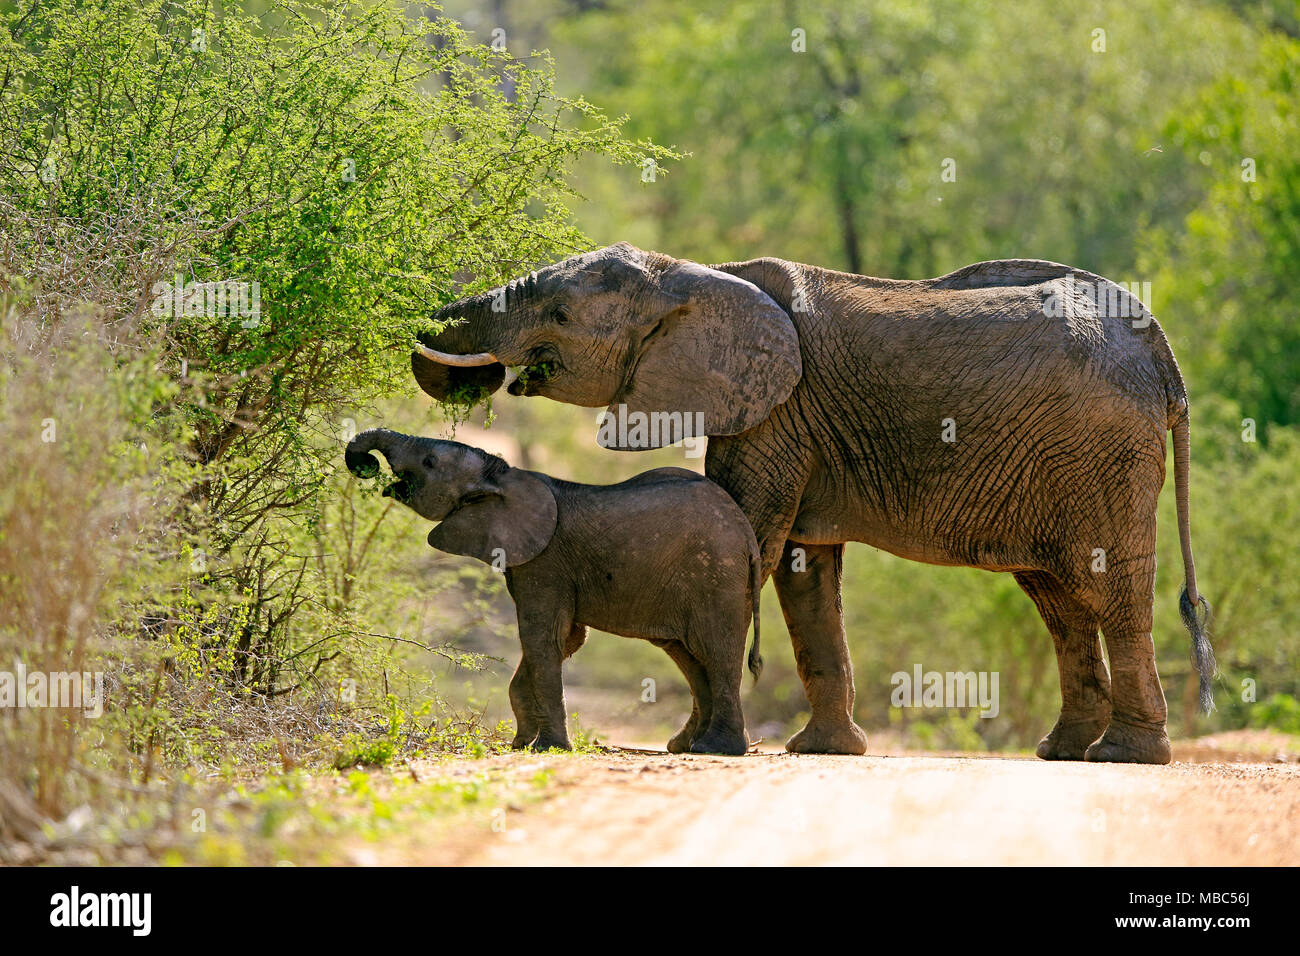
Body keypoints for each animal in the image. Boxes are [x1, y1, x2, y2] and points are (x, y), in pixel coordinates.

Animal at [345, 429, 759, 759]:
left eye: (429, 462)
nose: (368, 465)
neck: (502, 477)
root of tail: (746, 531)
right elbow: (563, 640)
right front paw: (521, 743)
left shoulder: (544, 561)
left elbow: (542, 638)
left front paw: (547, 748)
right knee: (689, 656)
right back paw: (688, 746)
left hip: (715, 575)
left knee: (716, 651)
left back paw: (717, 749)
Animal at [410, 243, 1211, 764]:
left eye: (559, 312)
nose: (478, 376)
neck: (699, 275)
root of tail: (1162, 355)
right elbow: (802, 571)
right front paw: (821, 751)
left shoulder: (776, 413)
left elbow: (750, 545)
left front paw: (700, 747)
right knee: (1059, 599)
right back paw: (1063, 751)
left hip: (1104, 454)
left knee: (1112, 590)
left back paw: (1126, 757)